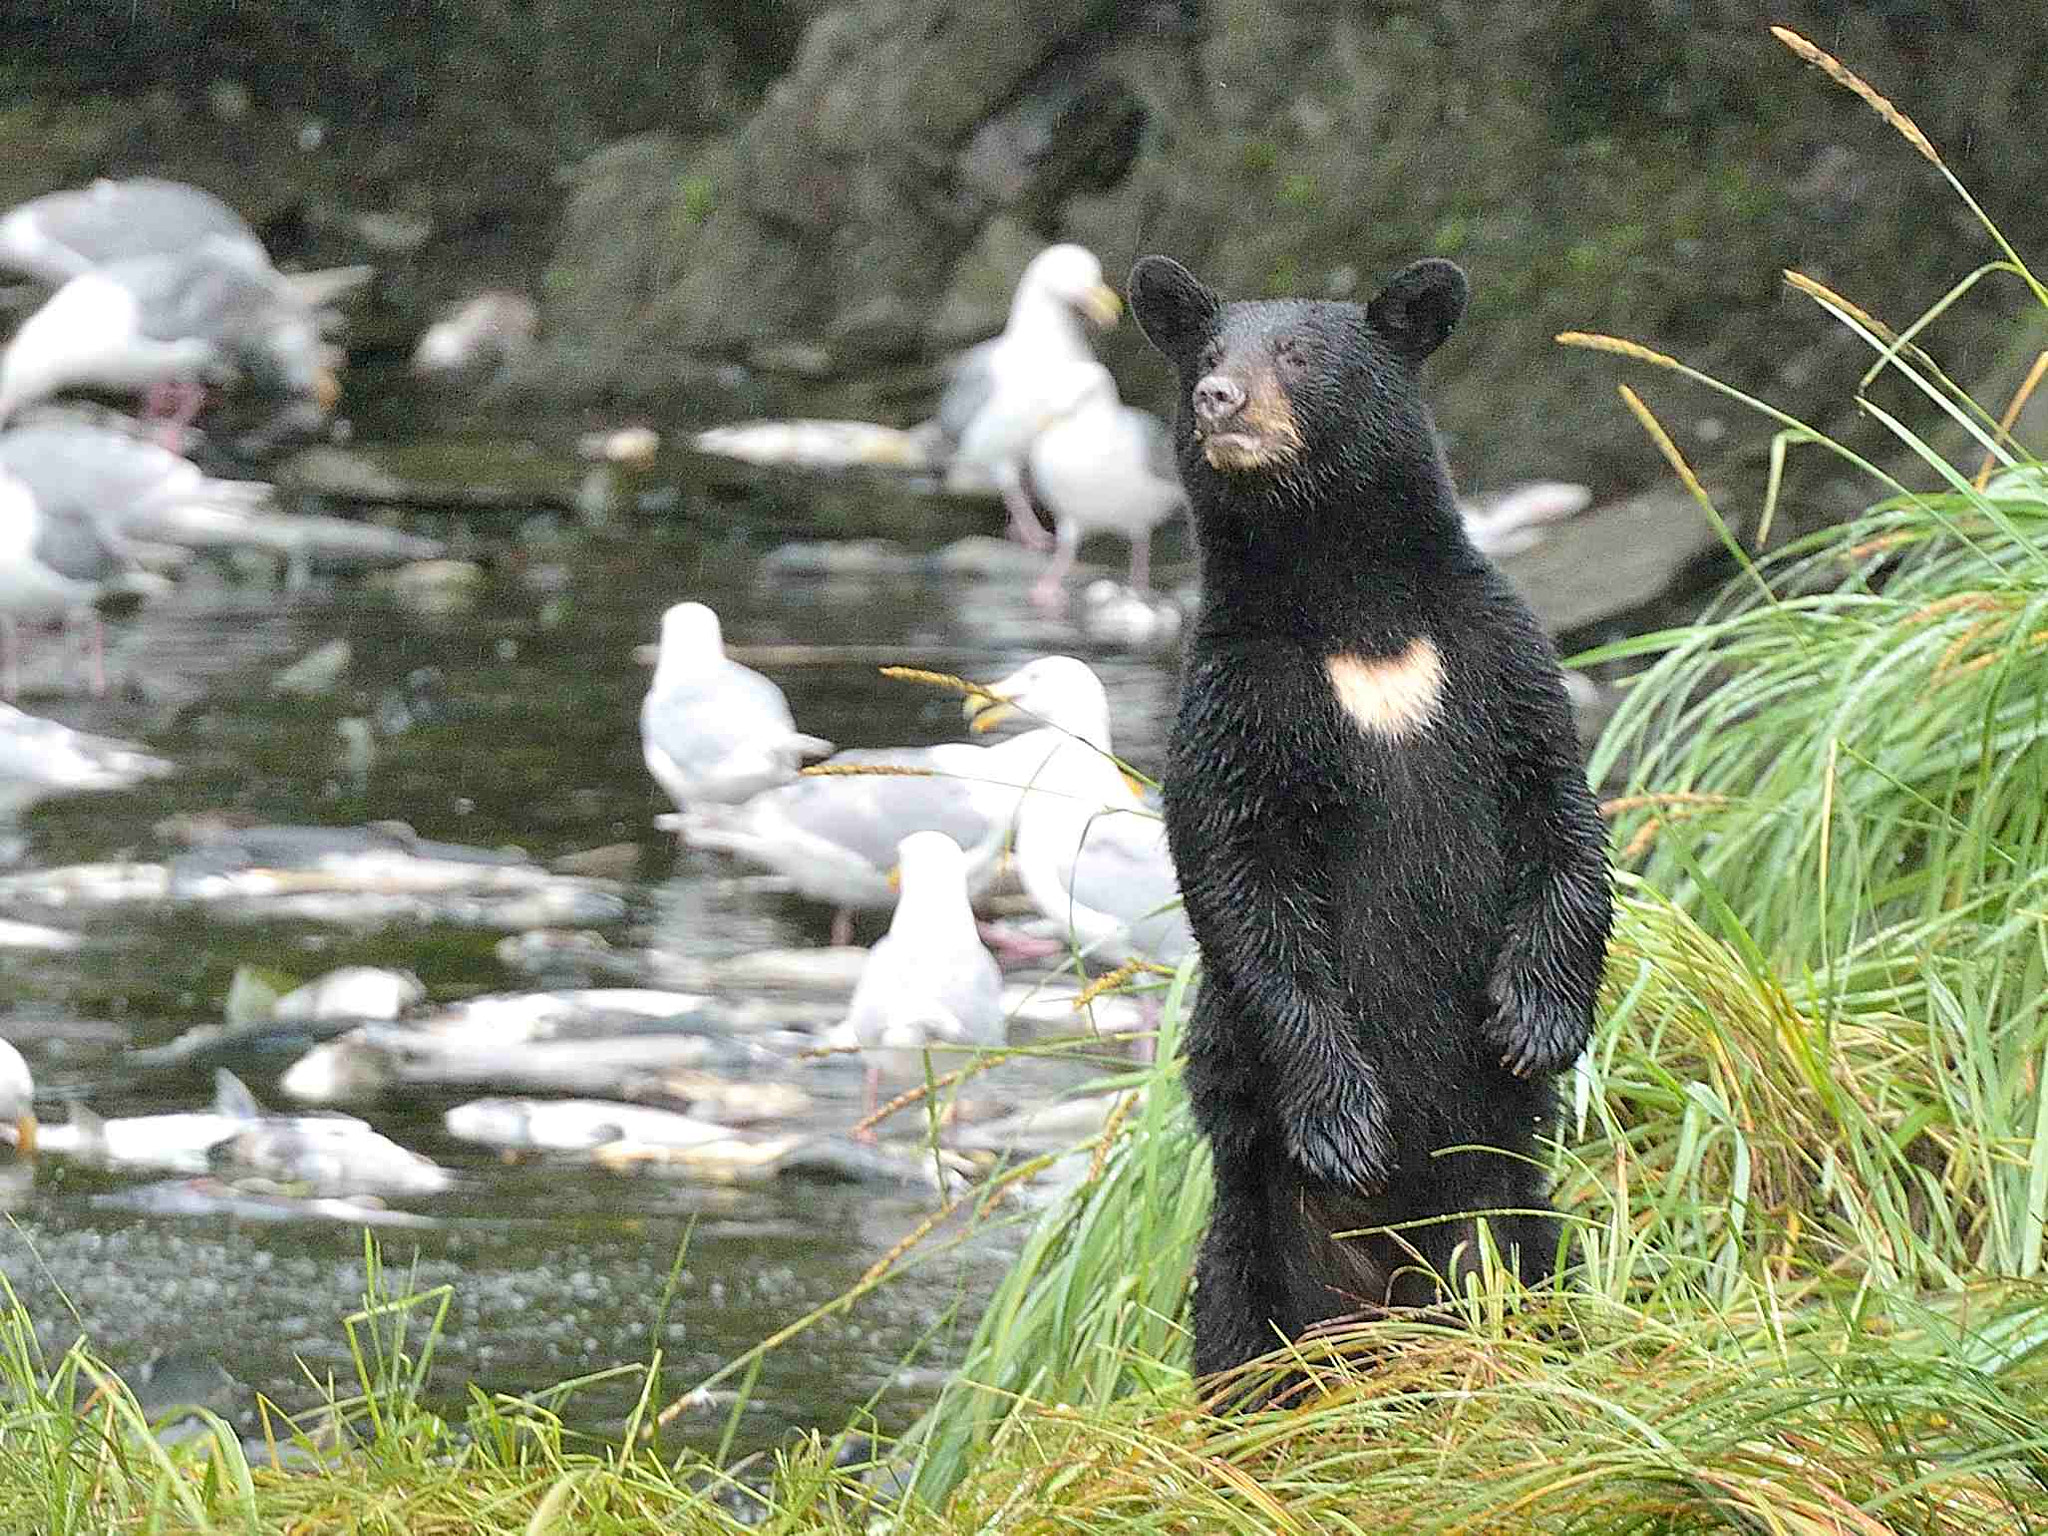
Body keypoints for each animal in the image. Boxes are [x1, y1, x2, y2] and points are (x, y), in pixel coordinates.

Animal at [1127, 252, 1614, 1390]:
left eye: (1299, 353)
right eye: (1204, 357)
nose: (1220, 402)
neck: (1356, 613)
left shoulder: (1493, 654)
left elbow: (1558, 812)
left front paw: (1535, 1021)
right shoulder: (1238, 696)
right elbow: (1242, 881)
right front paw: (1345, 1122)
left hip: (1508, 1209)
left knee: (1534, 1266)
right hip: (1254, 1233)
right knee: (1234, 1330)